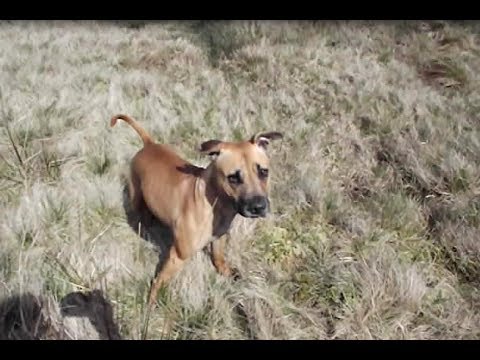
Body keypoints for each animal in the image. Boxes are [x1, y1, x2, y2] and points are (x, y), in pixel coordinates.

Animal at [109, 114, 282, 306]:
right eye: (233, 178)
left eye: (263, 172)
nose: (258, 207)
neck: (215, 202)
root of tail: (149, 144)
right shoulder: (177, 256)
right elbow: (159, 281)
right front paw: (151, 303)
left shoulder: (218, 238)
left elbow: (218, 258)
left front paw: (227, 272)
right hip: (136, 195)